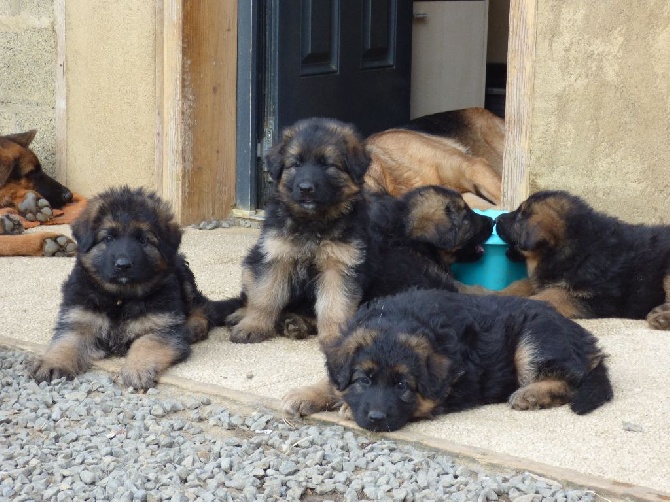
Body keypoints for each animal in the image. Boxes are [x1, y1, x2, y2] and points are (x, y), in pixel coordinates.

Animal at [32, 186, 215, 390]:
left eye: (143, 240)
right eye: (109, 238)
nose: (123, 265)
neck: (120, 297)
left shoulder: (162, 327)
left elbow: (145, 343)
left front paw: (137, 369)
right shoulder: (78, 320)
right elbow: (66, 341)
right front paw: (52, 362)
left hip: (183, 274)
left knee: (201, 305)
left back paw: (194, 326)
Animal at [326, 288, 616, 434]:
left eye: (402, 386)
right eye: (364, 380)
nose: (375, 418)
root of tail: (586, 341)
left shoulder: (448, 392)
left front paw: (345, 407)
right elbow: (331, 382)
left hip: (533, 340)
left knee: (571, 381)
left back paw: (530, 395)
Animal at [496, 189, 670, 330]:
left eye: (520, 215)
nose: (497, 219)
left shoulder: (597, 298)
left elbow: (551, 296)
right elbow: (519, 286)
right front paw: (493, 293)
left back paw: (662, 319)